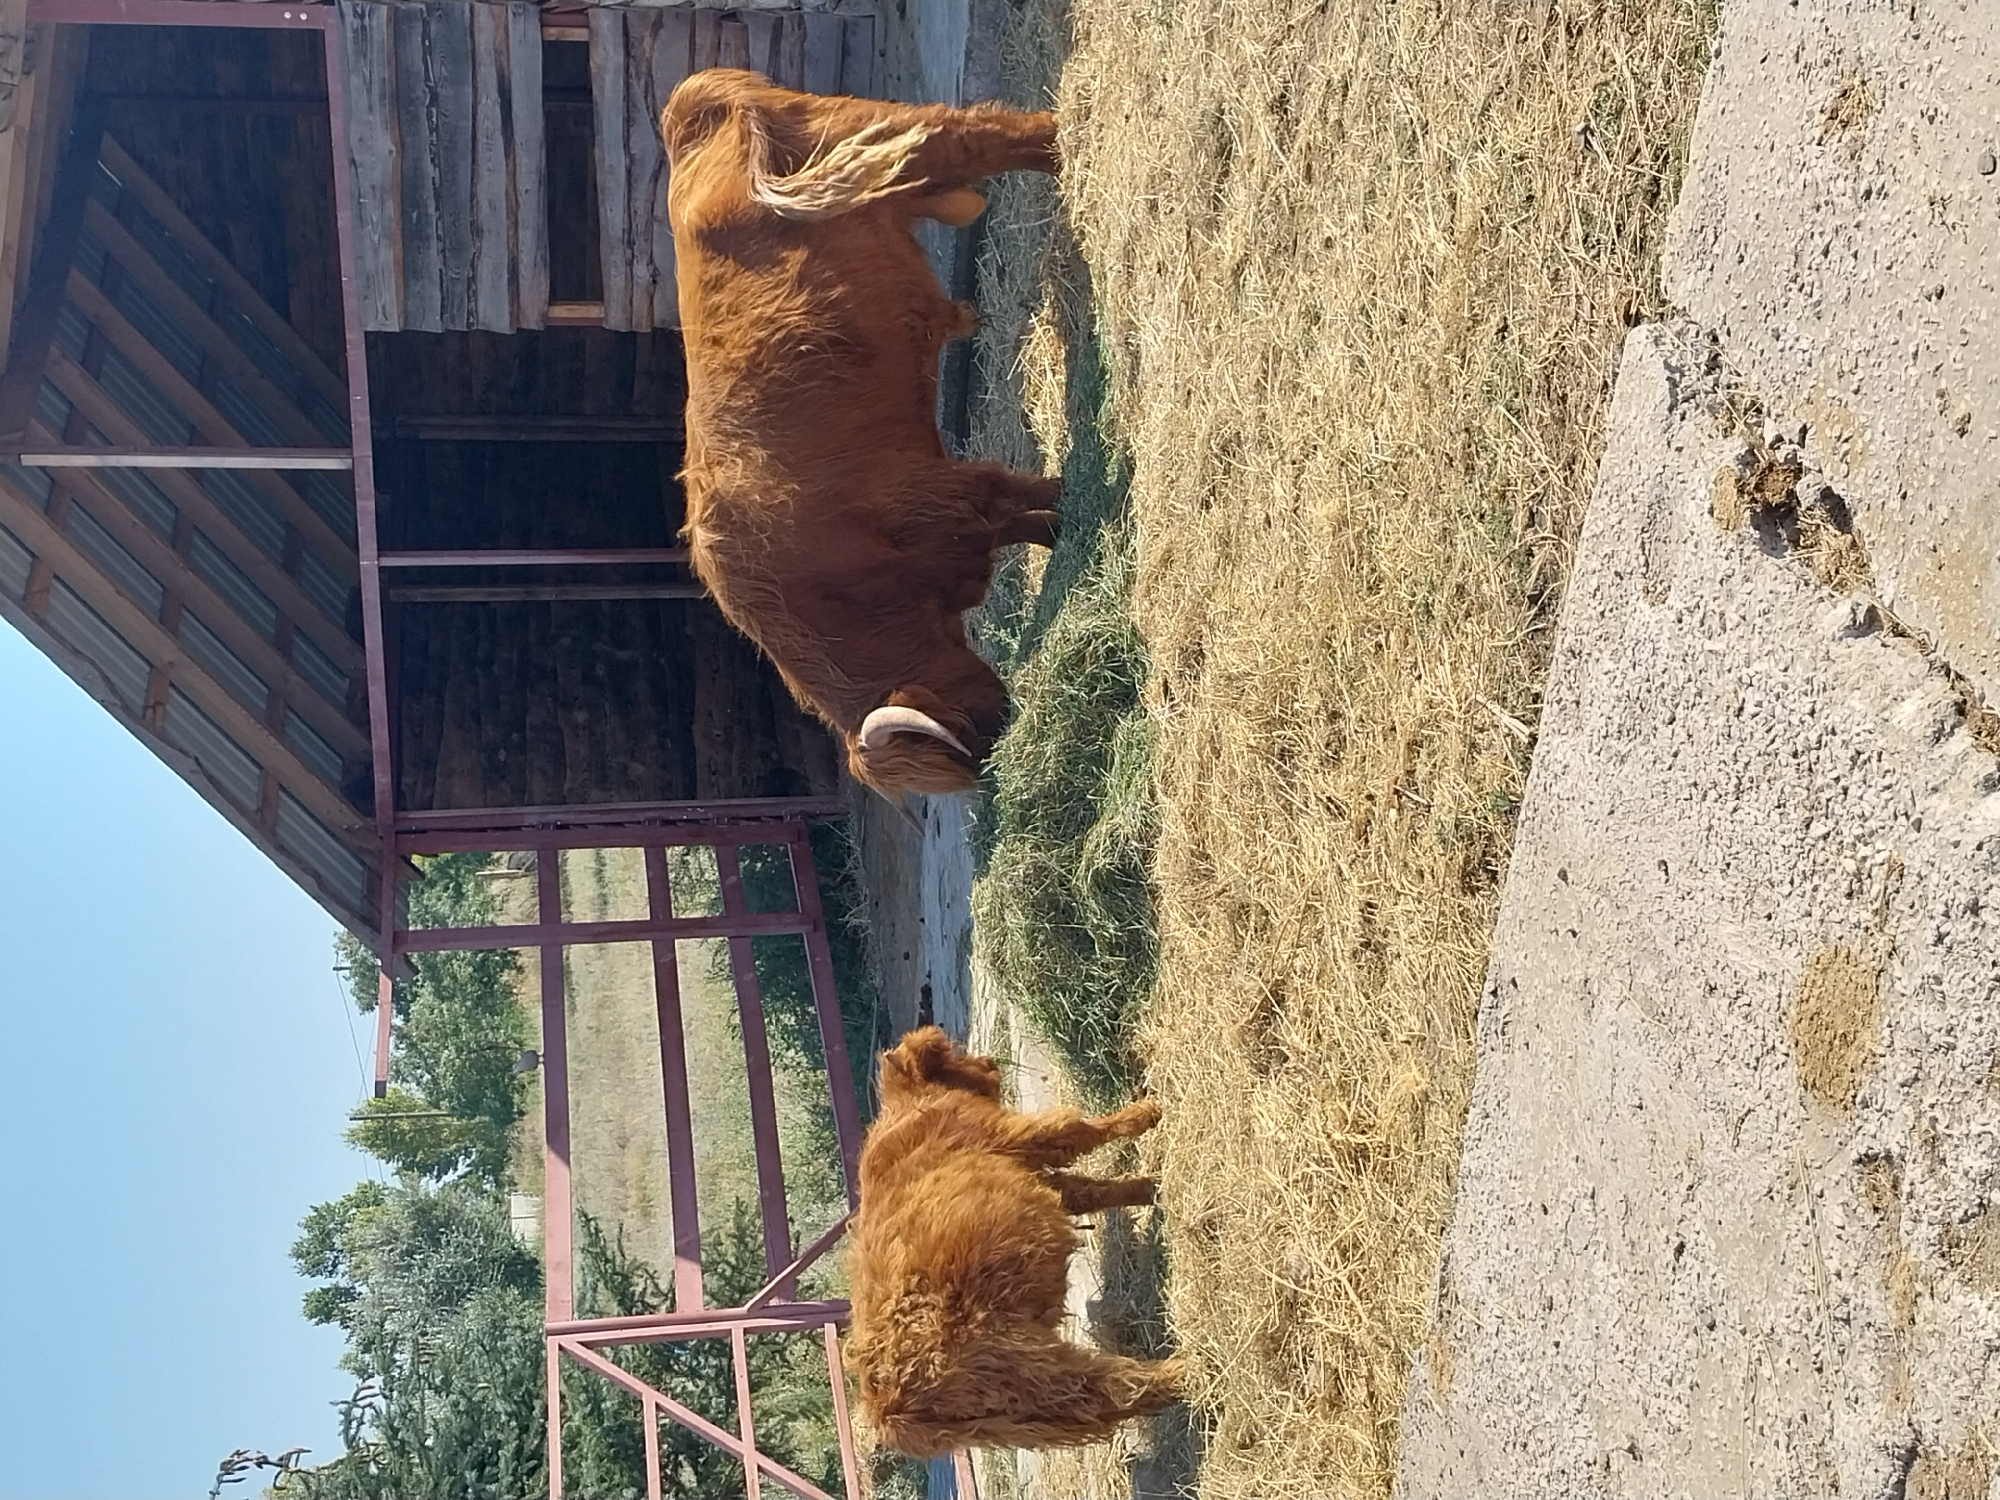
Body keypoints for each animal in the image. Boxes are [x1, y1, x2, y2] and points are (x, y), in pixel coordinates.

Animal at [661, 70, 1064, 805]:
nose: (1006, 751)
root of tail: (694, 95)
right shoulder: (952, 523)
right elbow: (1024, 521)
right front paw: (1061, 527)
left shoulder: (940, 491)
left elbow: (1015, 493)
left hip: (884, 136)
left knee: (975, 133)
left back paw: (1067, 141)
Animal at [843, 1026, 1185, 1456]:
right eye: (952, 1055)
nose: (989, 1062)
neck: (913, 1105)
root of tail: (885, 1410)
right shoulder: (1023, 1137)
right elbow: (1082, 1131)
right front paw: (1147, 1112)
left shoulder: (1031, 1171)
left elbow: (1090, 1191)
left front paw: (1149, 1187)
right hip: (1027, 1366)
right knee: (1110, 1387)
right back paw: (1184, 1372)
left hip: (1030, 1411)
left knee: (1104, 1401)